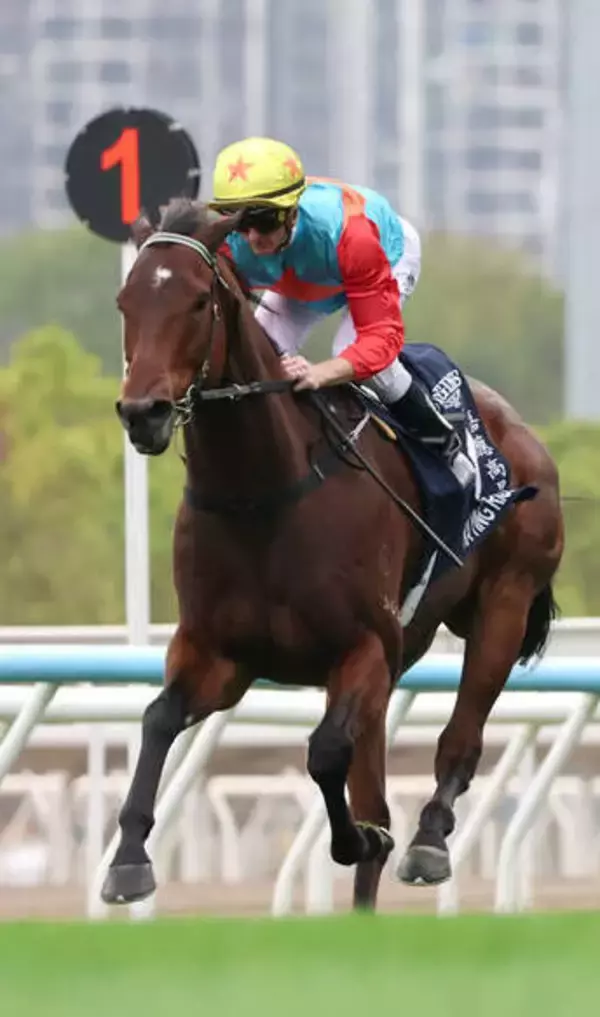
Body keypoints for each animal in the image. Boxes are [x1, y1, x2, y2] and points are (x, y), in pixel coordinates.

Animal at [103, 198, 564, 912]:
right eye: (126, 300)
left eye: (199, 300)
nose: (143, 412)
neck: (261, 495)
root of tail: (522, 433)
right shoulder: (217, 654)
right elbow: (156, 719)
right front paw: (128, 859)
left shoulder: (365, 647)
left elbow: (324, 754)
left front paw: (359, 839)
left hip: (503, 606)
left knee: (459, 741)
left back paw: (429, 840)